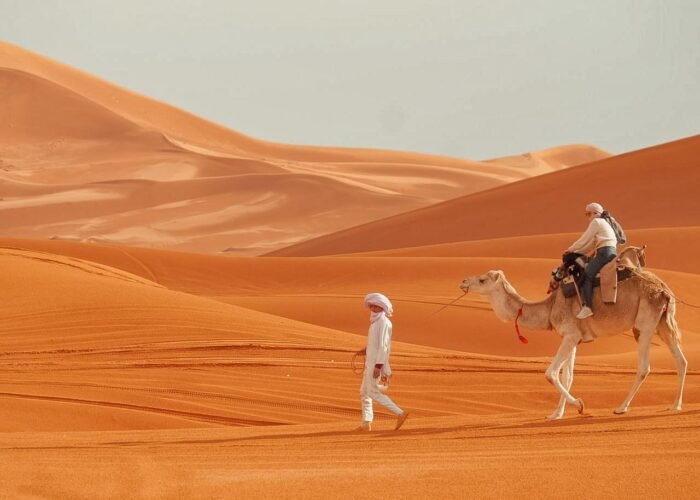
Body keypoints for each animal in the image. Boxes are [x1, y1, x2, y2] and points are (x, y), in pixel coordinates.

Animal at [459, 268, 687, 420]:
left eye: (482, 280)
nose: (463, 281)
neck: (550, 307)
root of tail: (664, 290)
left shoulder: (569, 334)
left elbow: (550, 373)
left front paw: (579, 405)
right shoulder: (574, 338)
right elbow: (567, 376)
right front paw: (557, 413)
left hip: (646, 322)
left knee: (644, 367)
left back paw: (621, 407)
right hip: (663, 323)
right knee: (681, 361)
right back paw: (675, 406)